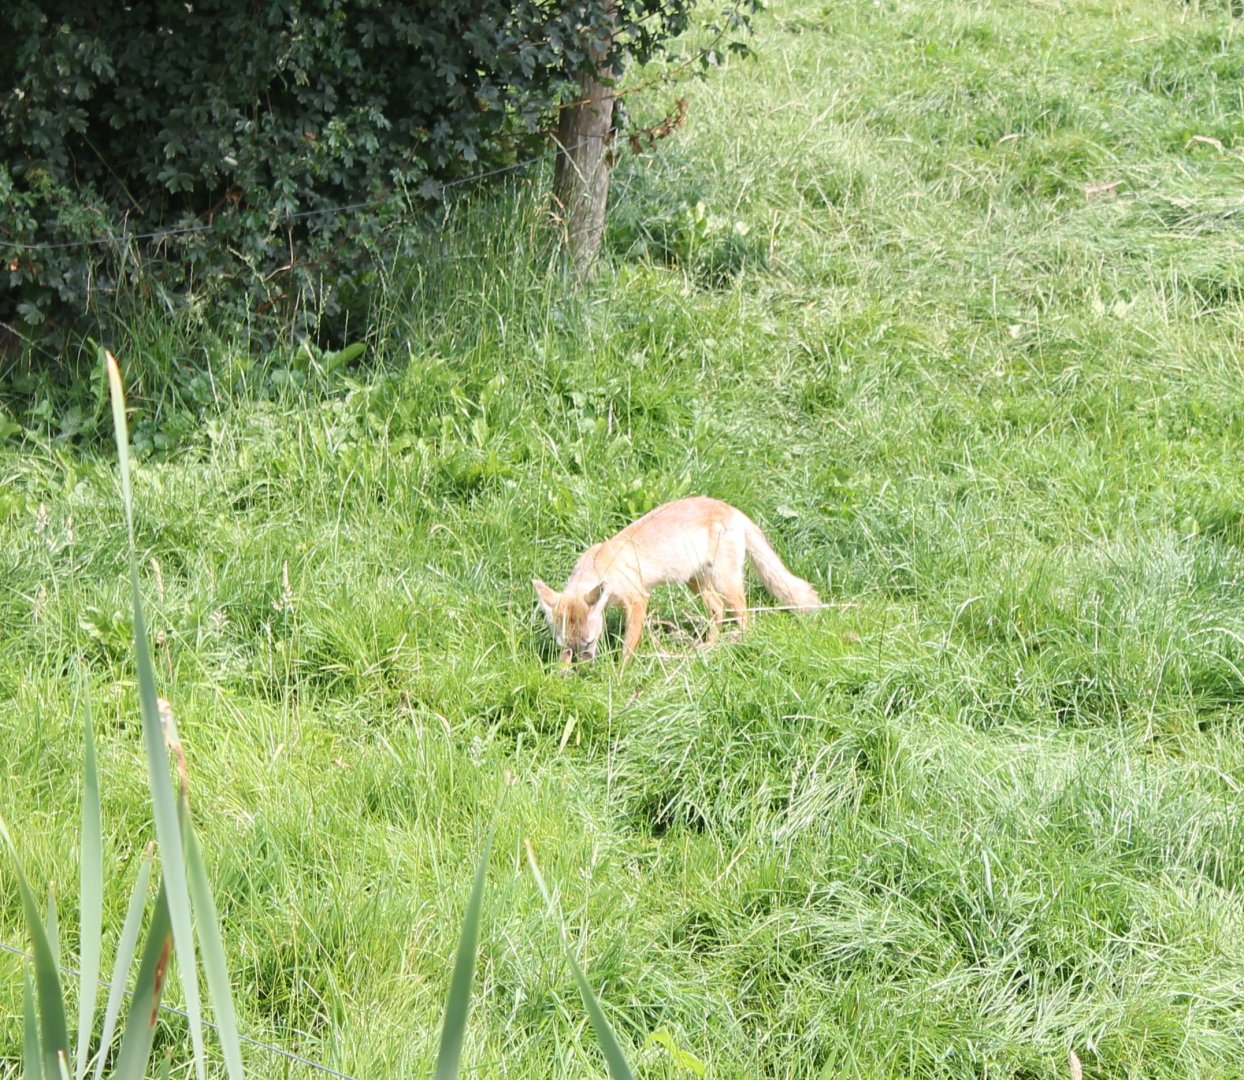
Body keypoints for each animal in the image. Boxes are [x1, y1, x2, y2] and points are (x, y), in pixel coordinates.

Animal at [533, 496, 820, 667]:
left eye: (589, 643)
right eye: (566, 647)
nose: (583, 670)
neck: (601, 565)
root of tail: (729, 507)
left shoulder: (637, 600)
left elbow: (627, 649)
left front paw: (619, 677)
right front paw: (562, 673)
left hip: (725, 583)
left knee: (745, 617)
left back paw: (739, 642)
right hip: (696, 583)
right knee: (717, 609)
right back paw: (708, 646)